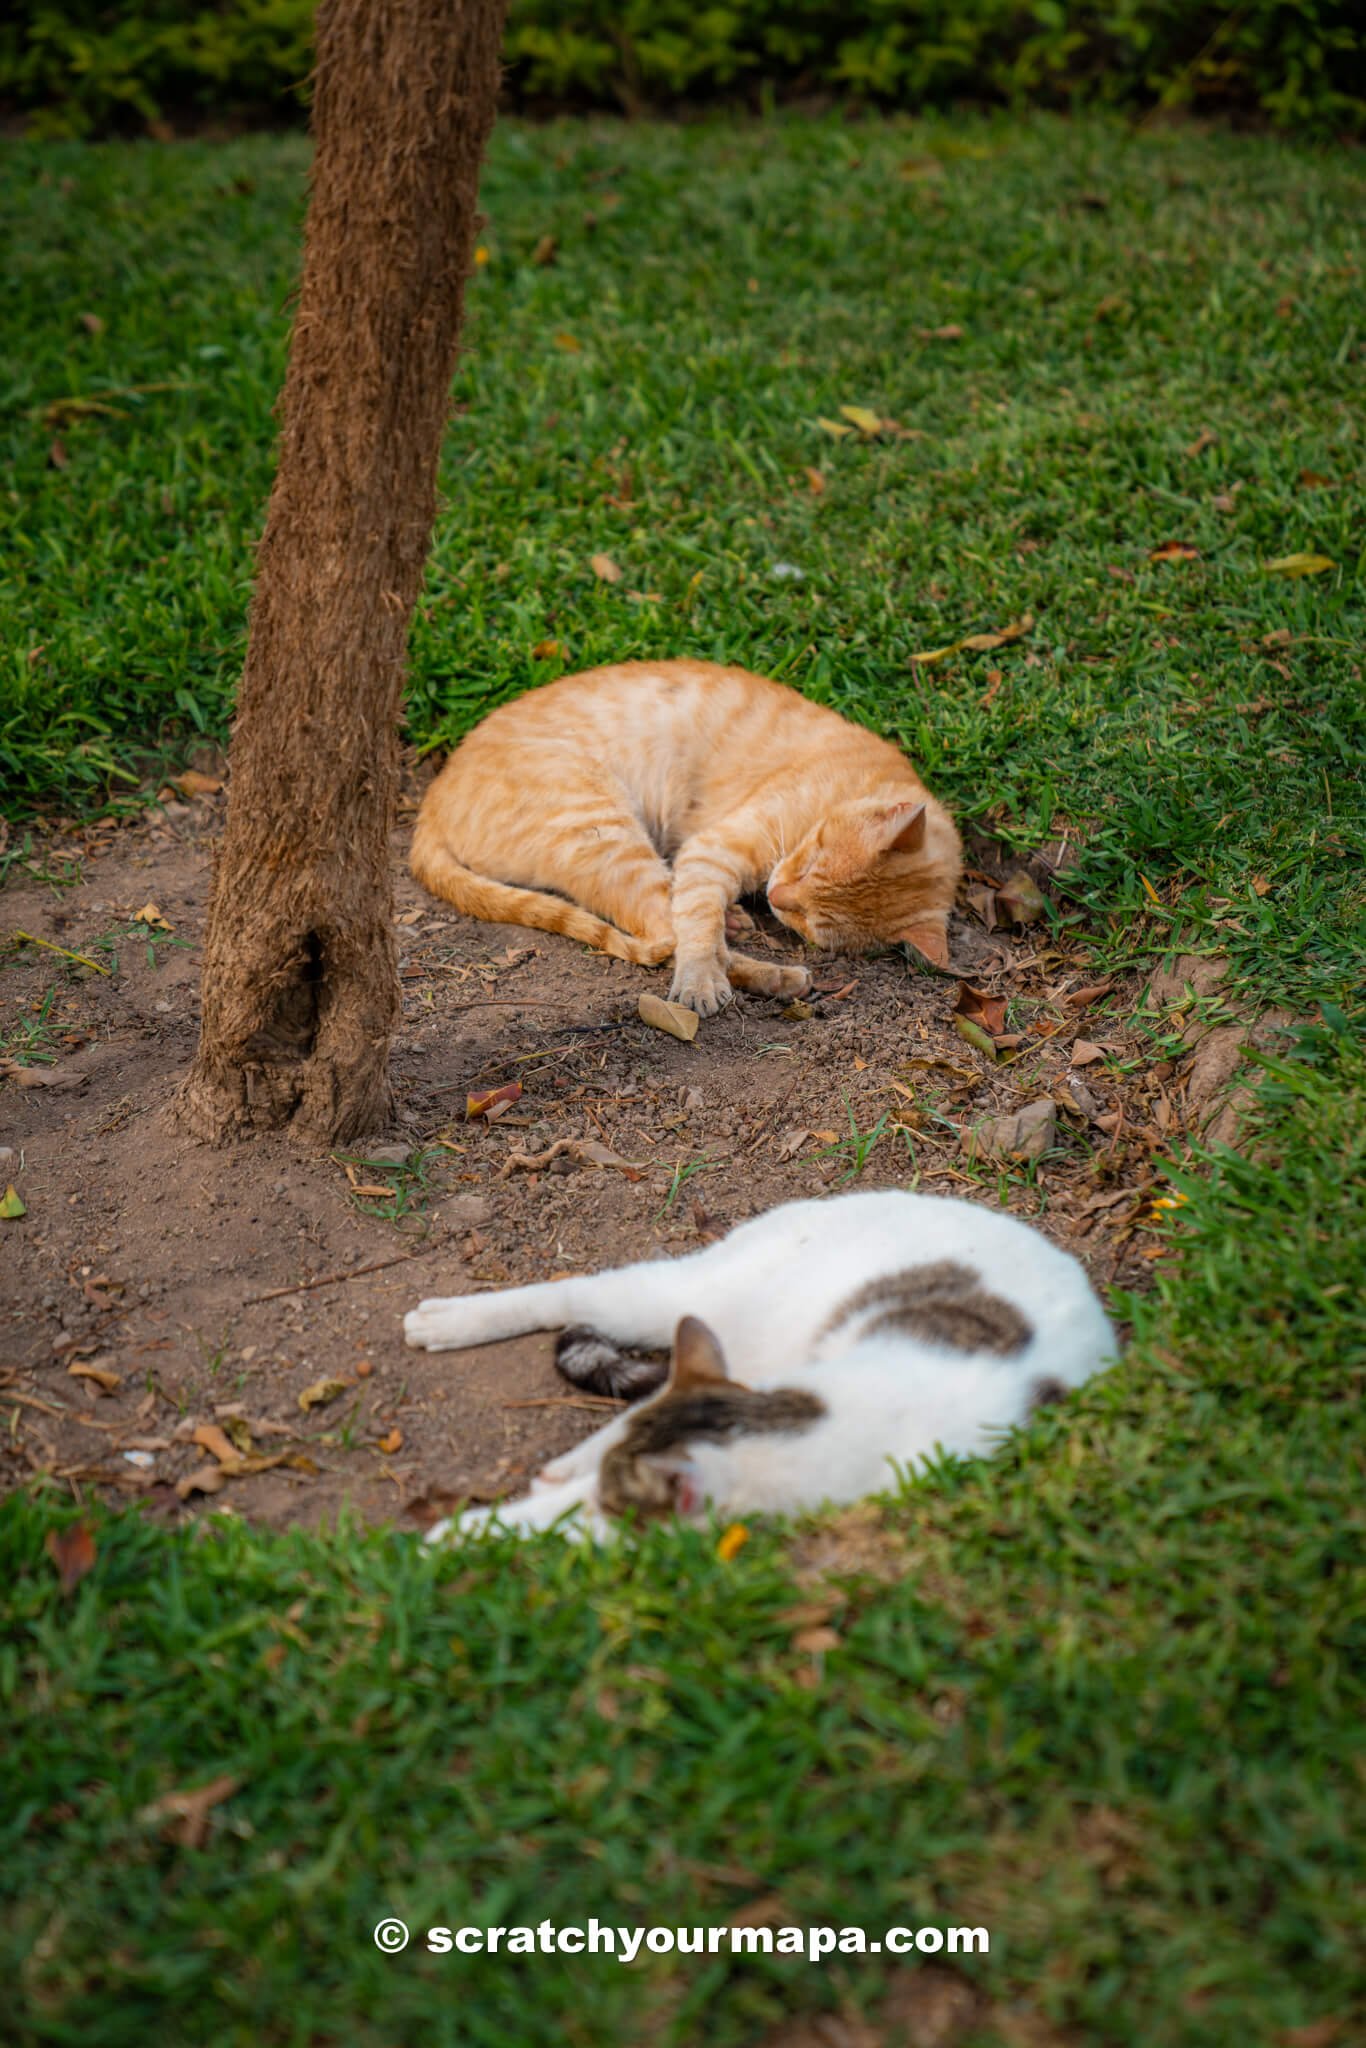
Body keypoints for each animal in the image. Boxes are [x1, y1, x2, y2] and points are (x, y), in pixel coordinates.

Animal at [413, 659, 962, 1011]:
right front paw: (701, 978)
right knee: (665, 928)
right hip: (607, 833)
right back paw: (770, 973)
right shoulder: (714, 847)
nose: (777, 897)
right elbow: (695, 928)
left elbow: (696, 913)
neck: (855, 782)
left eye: (814, 922)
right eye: (811, 863)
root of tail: (432, 798)